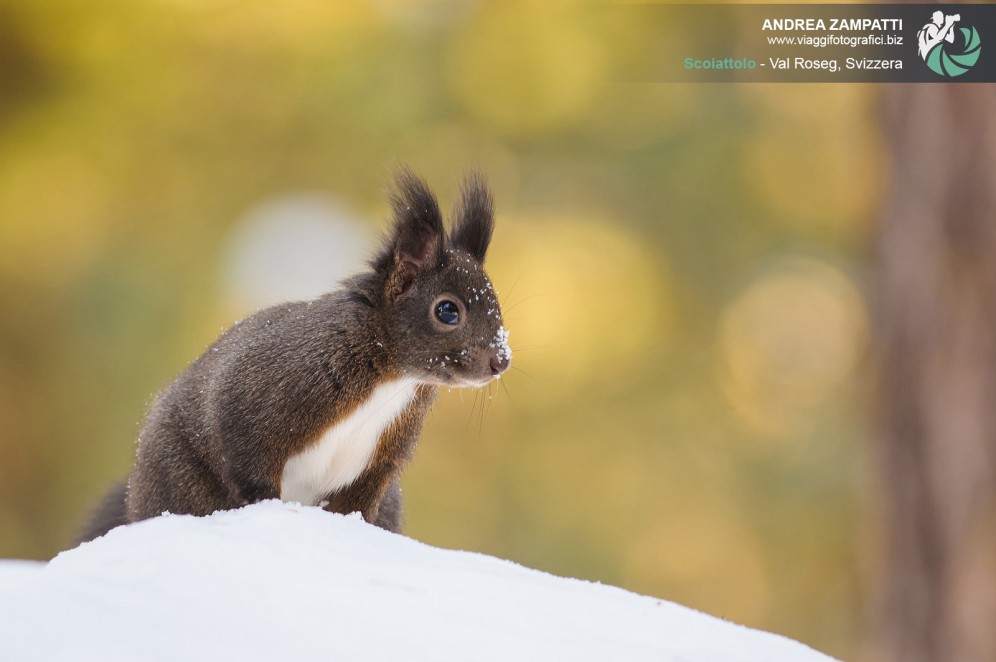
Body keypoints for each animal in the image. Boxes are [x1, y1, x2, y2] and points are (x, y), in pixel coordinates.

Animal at [76, 169, 512, 548]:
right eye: (448, 311)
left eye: (494, 300)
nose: (502, 360)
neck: (393, 377)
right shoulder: (265, 393)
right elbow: (247, 458)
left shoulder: (380, 462)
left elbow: (357, 504)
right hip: (178, 479)